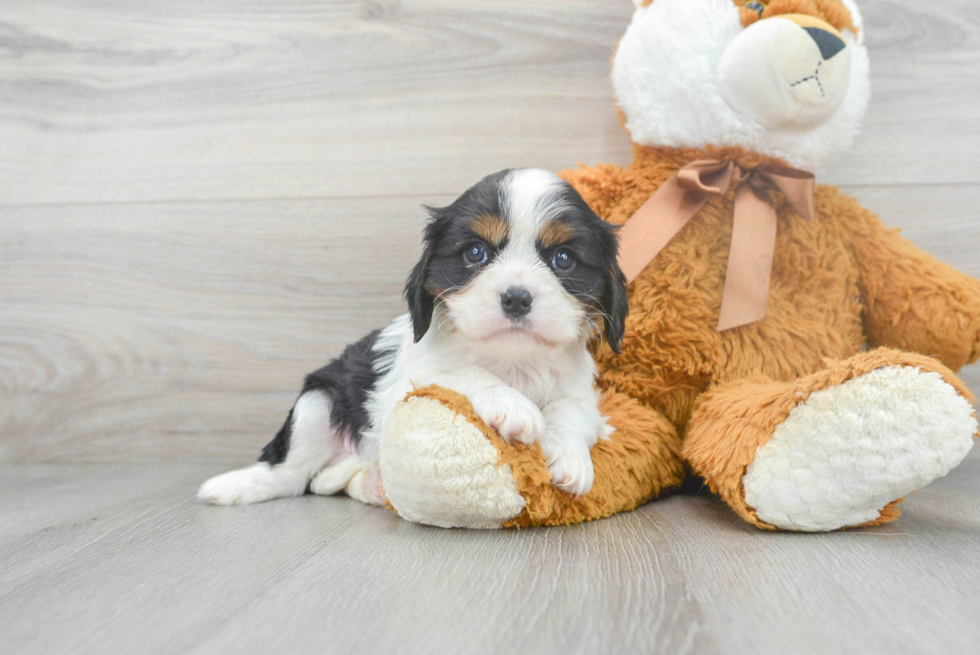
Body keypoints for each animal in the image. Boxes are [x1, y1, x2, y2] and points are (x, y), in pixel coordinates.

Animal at [198, 169, 628, 508]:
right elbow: (462, 374)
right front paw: (512, 406)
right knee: (292, 475)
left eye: (563, 259)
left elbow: (572, 411)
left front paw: (570, 458)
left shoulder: (584, 397)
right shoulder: (400, 391)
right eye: (476, 253)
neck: (511, 360)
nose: (517, 297)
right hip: (316, 404)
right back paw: (238, 485)